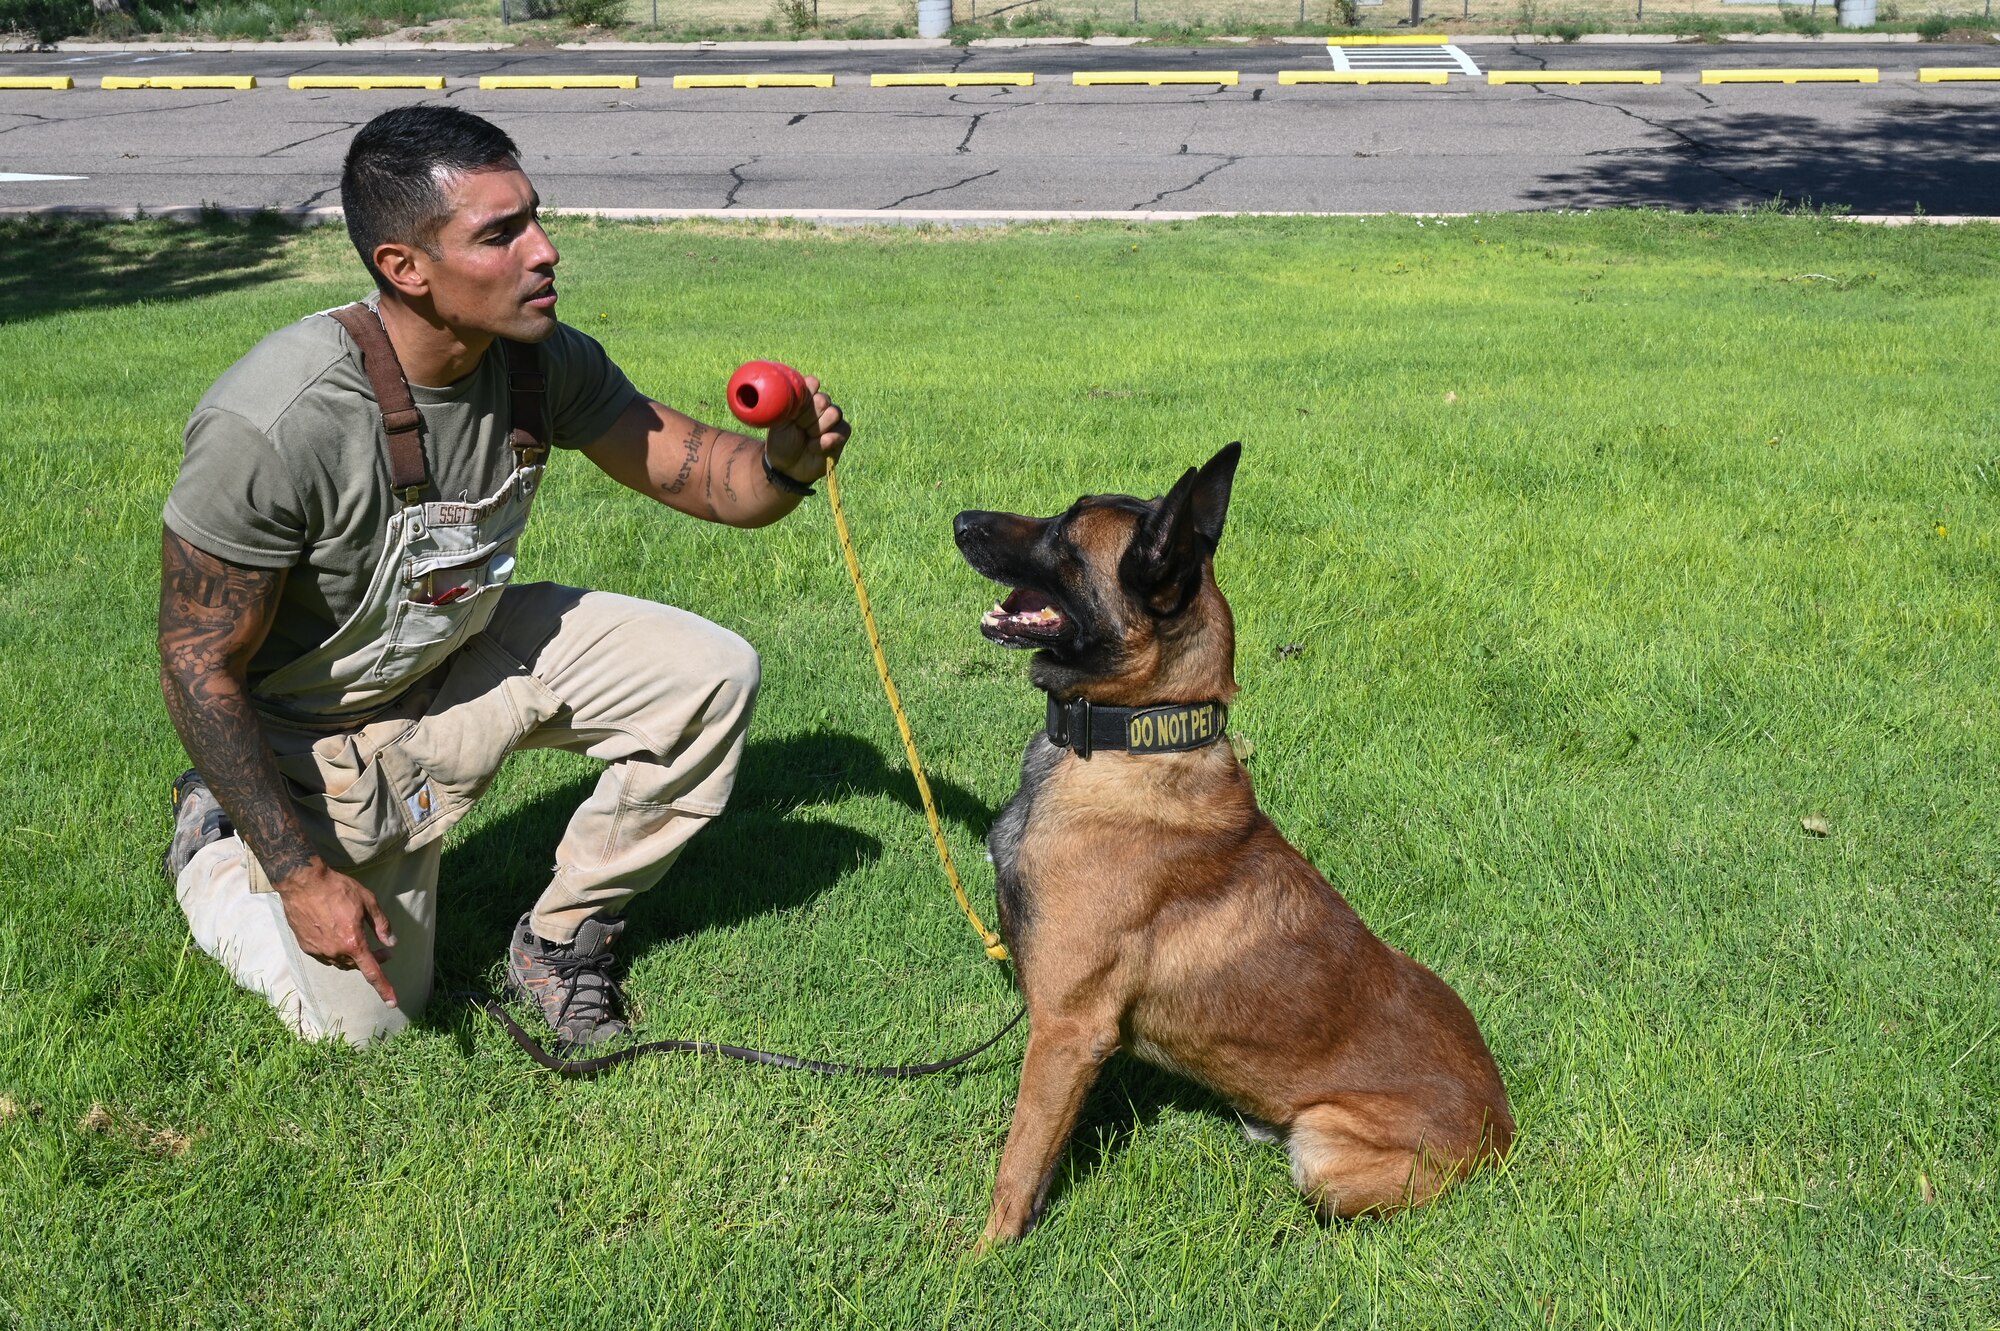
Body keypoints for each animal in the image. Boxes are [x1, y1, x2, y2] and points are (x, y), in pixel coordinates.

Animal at [960, 445, 1504, 1247]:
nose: (960, 519)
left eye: (1064, 534)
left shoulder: (1067, 1030)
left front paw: (983, 1255)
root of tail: (1501, 1129)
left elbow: (1020, 1160)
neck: (1137, 738)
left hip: (1325, 1157)